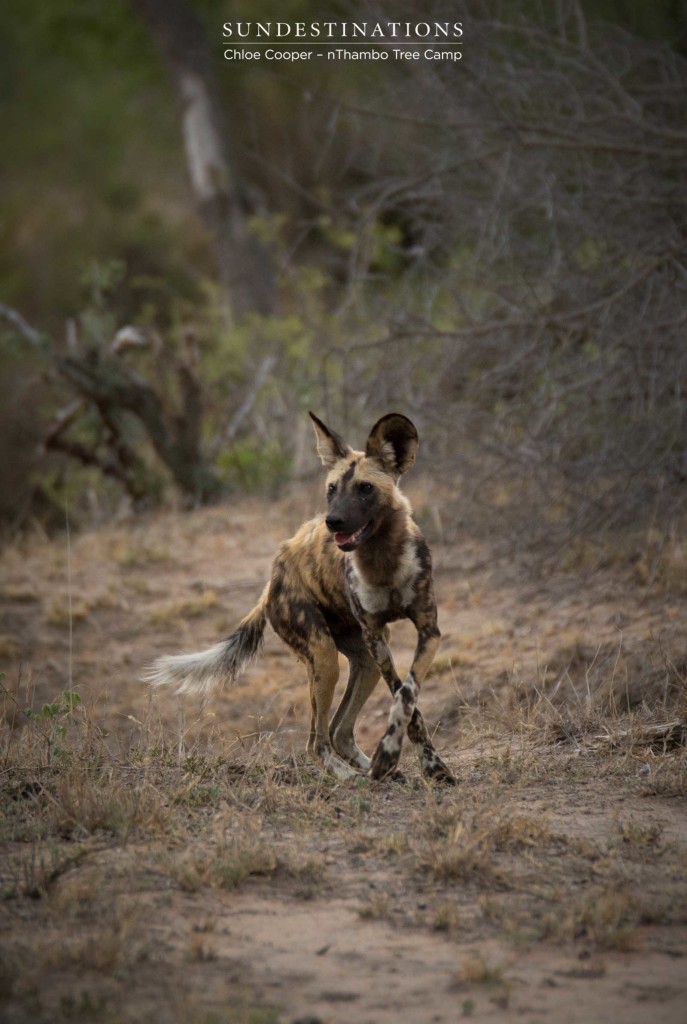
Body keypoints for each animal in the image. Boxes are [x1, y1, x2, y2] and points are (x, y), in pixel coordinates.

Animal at [144, 411, 454, 778]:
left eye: (365, 489)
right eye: (331, 489)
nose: (333, 521)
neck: (383, 561)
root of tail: (271, 580)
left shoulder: (426, 632)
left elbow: (407, 696)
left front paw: (423, 764)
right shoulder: (377, 637)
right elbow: (405, 701)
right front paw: (401, 757)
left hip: (364, 660)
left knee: (339, 731)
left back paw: (376, 772)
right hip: (325, 656)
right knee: (316, 742)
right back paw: (353, 778)